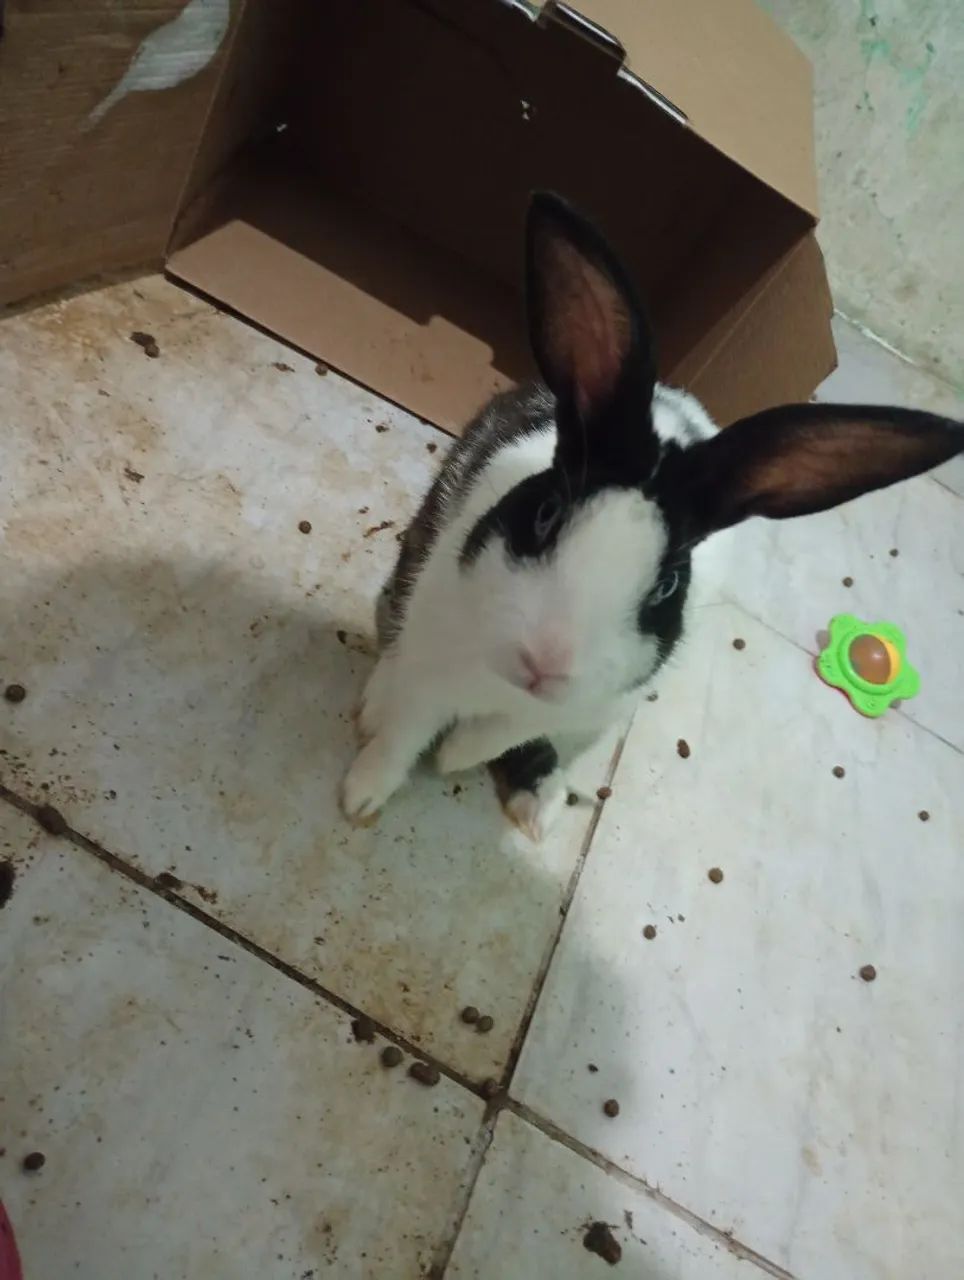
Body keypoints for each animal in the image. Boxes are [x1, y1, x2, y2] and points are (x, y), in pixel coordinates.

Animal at [342, 191, 964, 839]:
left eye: (666, 584)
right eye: (546, 514)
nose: (544, 664)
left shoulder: (586, 702)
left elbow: (498, 734)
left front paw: (457, 755)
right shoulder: (432, 666)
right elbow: (403, 737)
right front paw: (361, 797)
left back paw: (540, 801)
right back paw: (374, 705)